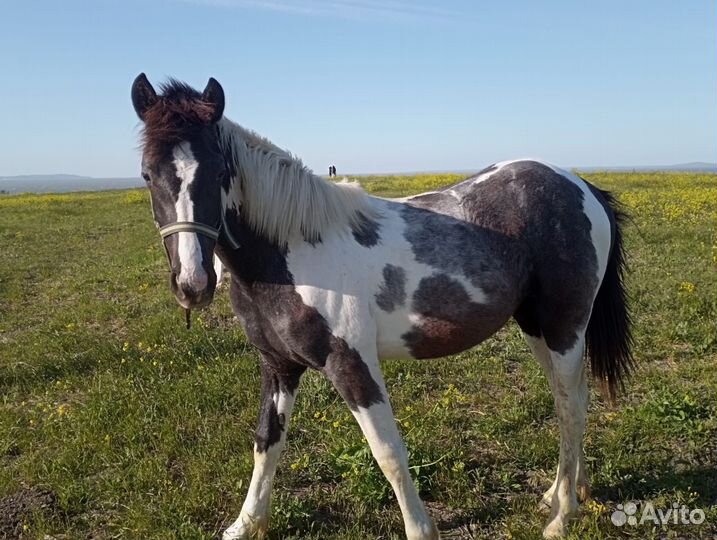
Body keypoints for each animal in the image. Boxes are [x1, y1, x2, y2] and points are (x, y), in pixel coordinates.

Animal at [131, 74, 633, 539]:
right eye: (147, 174)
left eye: (219, 173)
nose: (193, 284)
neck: (291, 253)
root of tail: (581, 186)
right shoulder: (278, 365)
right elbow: (266, 442)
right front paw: (247, 523)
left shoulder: (351, 363)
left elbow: (387, 451)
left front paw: (420, 529)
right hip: (536, 326)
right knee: (570, 397)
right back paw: (566, 490)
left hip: (566, 326)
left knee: (571, 406)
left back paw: (562, 516)